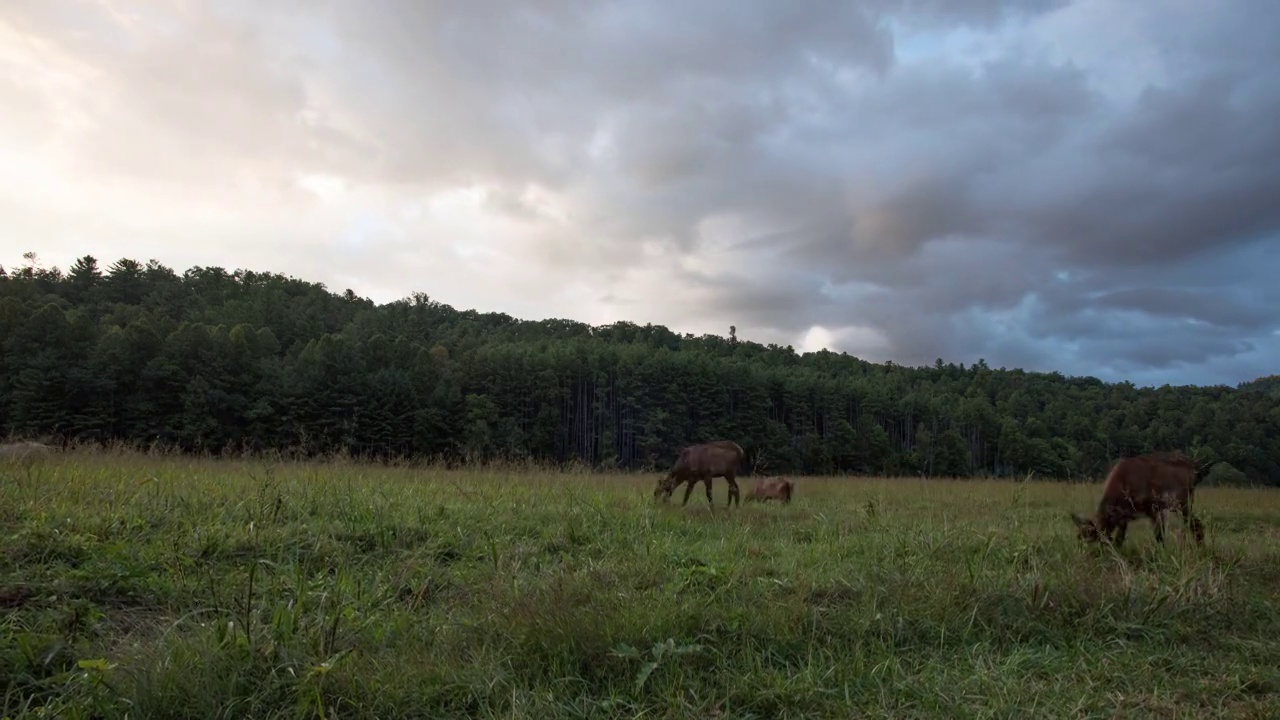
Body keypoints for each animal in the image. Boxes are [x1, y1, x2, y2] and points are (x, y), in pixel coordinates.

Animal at [1070, 450, 1208, 545]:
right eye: (1079, 538)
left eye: (1095, 539)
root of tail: (1195, 469)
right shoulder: (1124, 516)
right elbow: (1119, 540)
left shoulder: (1153, 509)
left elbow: (1160, 537)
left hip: (1183, 504)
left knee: (1197, 526)